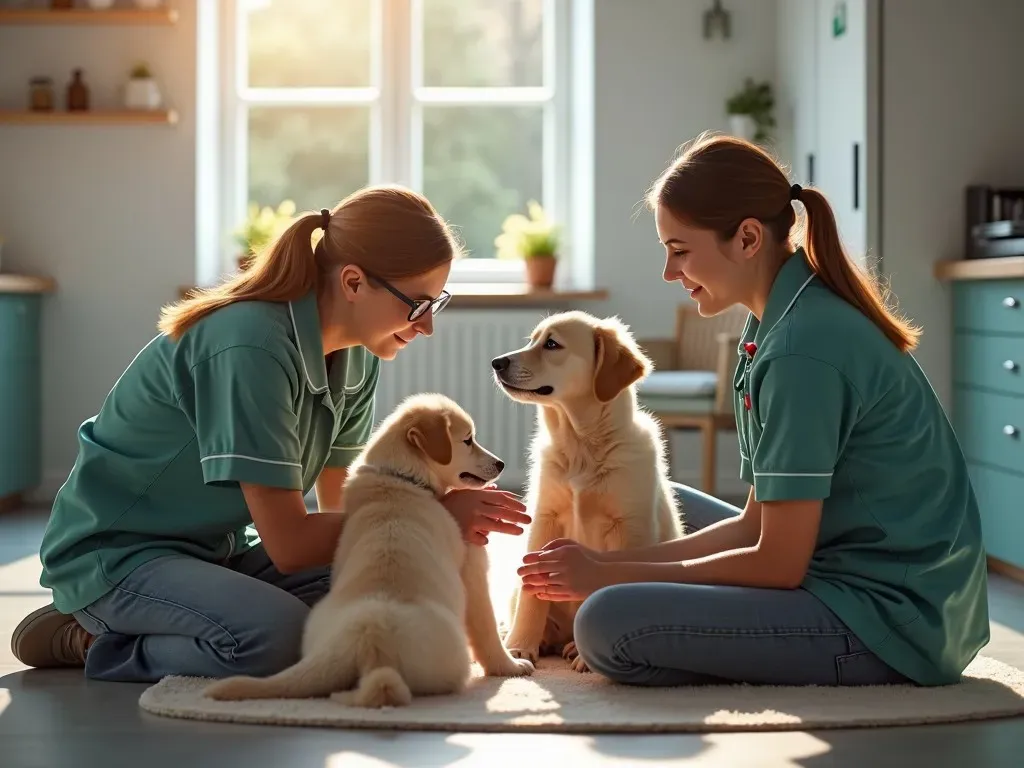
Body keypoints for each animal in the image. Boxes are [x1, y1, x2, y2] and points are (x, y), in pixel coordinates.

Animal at [202, 397, 532, 708]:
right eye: (467, 440)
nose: (501, 464)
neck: (402, 478)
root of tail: (367, 639)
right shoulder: (474, 573)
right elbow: (487, 630)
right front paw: (510, 666)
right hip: (448, 661)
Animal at [489, 313, 679, 671]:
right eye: (532, 340)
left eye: (552, 344)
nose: (496, 362)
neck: (582, 447)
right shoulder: (544, 520)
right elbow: (531, 594)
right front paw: (520, 647)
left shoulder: (628, 527)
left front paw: (584, 657)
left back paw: (573, 648)